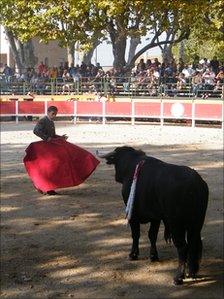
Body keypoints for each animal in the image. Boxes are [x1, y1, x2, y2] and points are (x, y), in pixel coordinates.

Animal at [98, 147, 208, 286]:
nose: (116, 177)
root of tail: (195, 183)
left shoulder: (134, 216)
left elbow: (136, 234)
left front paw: (133, 255)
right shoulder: (156, 217)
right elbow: (152, 235)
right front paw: (153, 256)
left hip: (176, 224)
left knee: (183, 246)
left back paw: (178, 277)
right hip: (196, 223)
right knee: (195, 243)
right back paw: (192, 272)